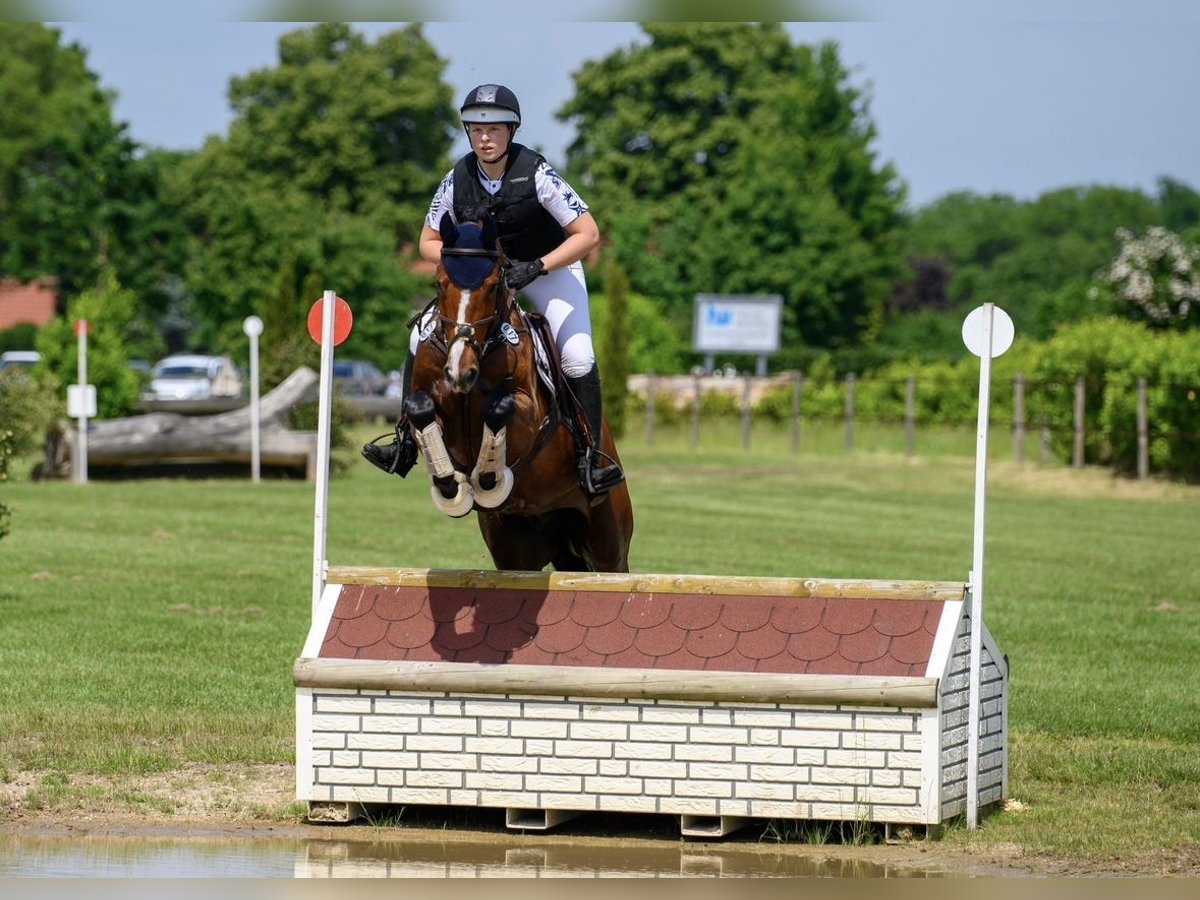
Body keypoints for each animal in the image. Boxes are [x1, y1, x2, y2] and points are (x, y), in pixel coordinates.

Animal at [396, 214, 638, 573]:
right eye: (439, 284)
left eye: (493, 285)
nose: (459, 372)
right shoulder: (430, 401)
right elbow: (419, 408)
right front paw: (450, 485)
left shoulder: (530, 417)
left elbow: (500, 407)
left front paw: (487, 477)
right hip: (518, 550)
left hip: (608, 545)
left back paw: (594, 471)